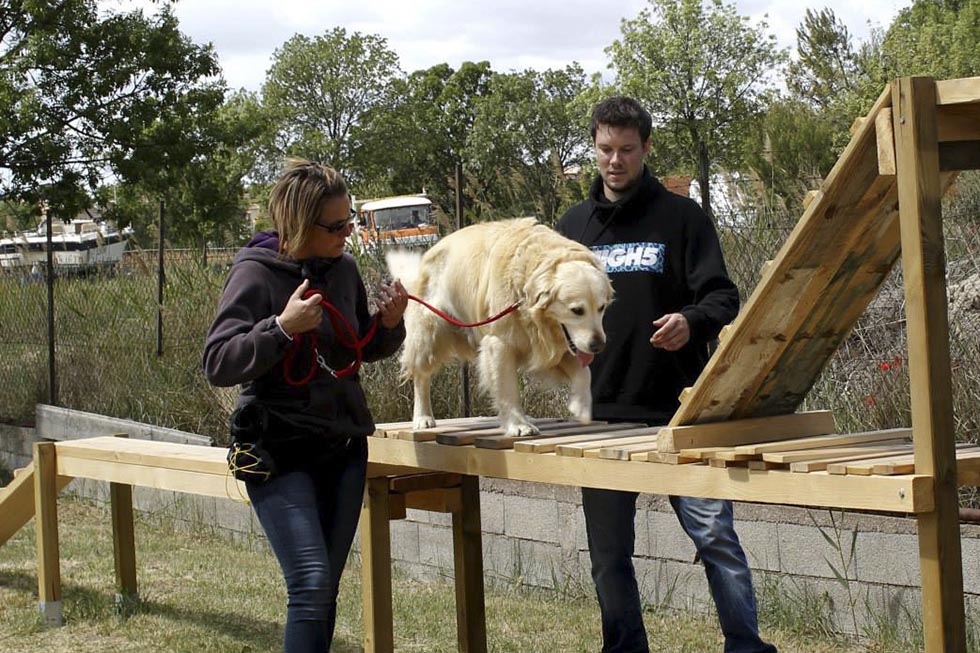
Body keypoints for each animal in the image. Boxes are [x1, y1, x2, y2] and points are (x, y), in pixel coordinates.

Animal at [384, 216, 608, 436]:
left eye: (602, 307)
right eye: (577, 310)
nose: (598, 346)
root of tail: (428, 254)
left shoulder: (555, 345)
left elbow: (585, 373)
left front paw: (581, 406)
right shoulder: (500, 343)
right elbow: (508, 388)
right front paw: (518, 424)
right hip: (429, 335)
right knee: (421, 376)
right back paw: (423, 417)